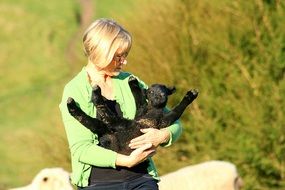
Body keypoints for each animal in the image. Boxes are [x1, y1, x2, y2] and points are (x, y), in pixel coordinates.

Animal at [66, 76, 197, 156]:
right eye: (151, 92)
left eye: (164, 90)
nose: (159, 96)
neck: (152, 110)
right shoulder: (140, 111)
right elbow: (139, 99)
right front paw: (132, 82)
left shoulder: (161, 121)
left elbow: (176, 112)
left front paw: (190, 95)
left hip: (115, 131)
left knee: (102, 118)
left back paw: (91, 96)